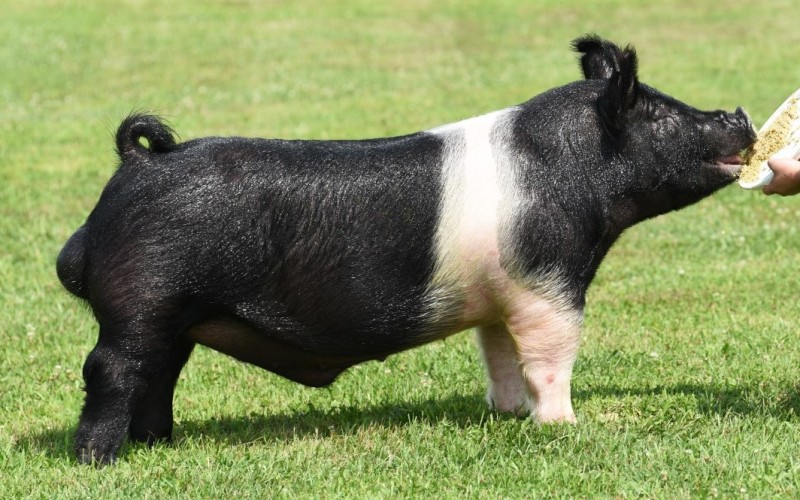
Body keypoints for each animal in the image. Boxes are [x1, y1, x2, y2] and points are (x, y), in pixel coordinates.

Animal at [57, 35, 755, 464]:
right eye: (660, 116)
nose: (739, 112)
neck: (574, 175)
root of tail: (139, 164)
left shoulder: (502, 292)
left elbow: (499, 357)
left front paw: (507, 415)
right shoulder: (549, 280)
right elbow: (550, 357)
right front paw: (564, 426)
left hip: (173, 317)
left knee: (159, 373)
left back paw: (159, 444)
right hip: (144, 297)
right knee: (111, 368)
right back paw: (99, 460)